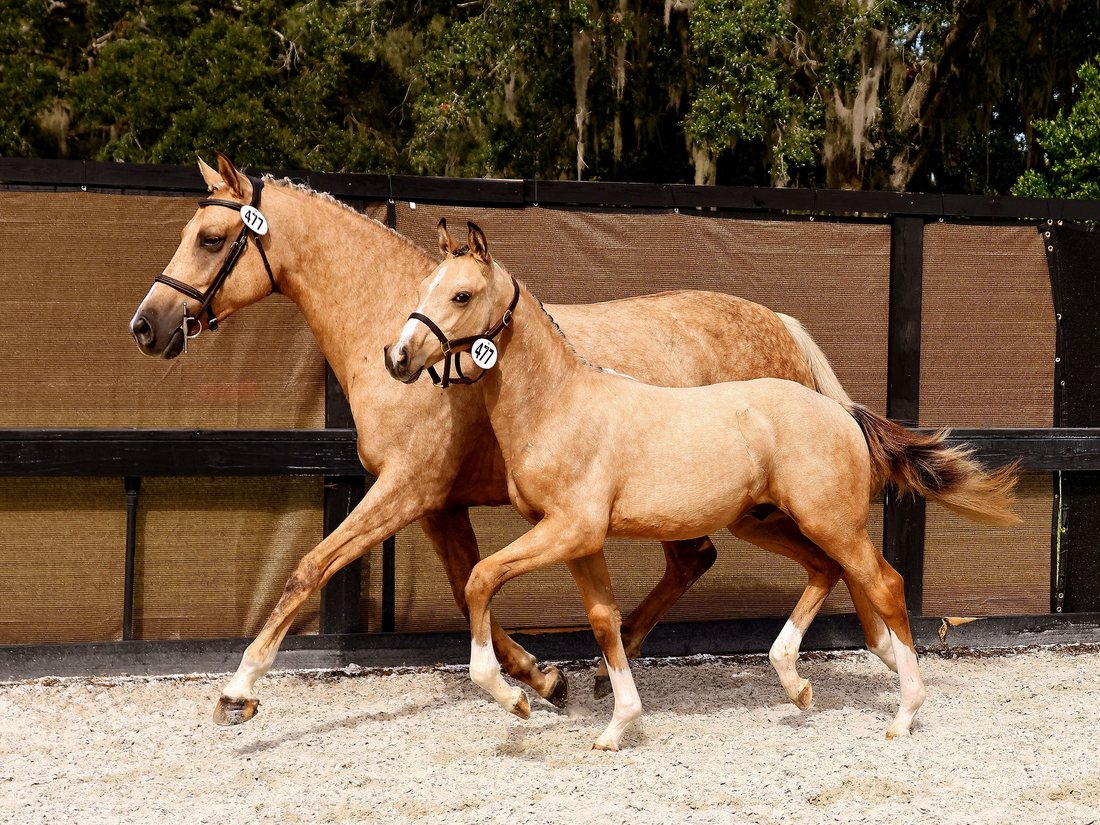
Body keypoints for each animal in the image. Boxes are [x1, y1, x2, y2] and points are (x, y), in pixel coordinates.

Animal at [132, 153, 889, 725]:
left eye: (209, 237)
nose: (146, 325)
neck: (402, 329)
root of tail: (782, 325)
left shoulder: (406, 489)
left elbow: (312, 566)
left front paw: (238, 690)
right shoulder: (439, 506)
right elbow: (469, 583)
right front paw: (540, 678)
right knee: (701, 562)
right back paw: (607, 666)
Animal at [385, 220, 1020, 749]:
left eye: (461, 295)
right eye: (425, 286)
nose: (399, 357)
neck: (560, 407)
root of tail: (840, 411)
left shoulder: (568, 531)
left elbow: (479, 579)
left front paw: (515, 698)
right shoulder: (581, 542)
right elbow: (605, 620)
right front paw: (616, 726)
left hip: (830, 521)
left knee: (883, 583)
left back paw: (904, 713)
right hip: (766, 522)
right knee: (828, 570)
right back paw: (796, 683)